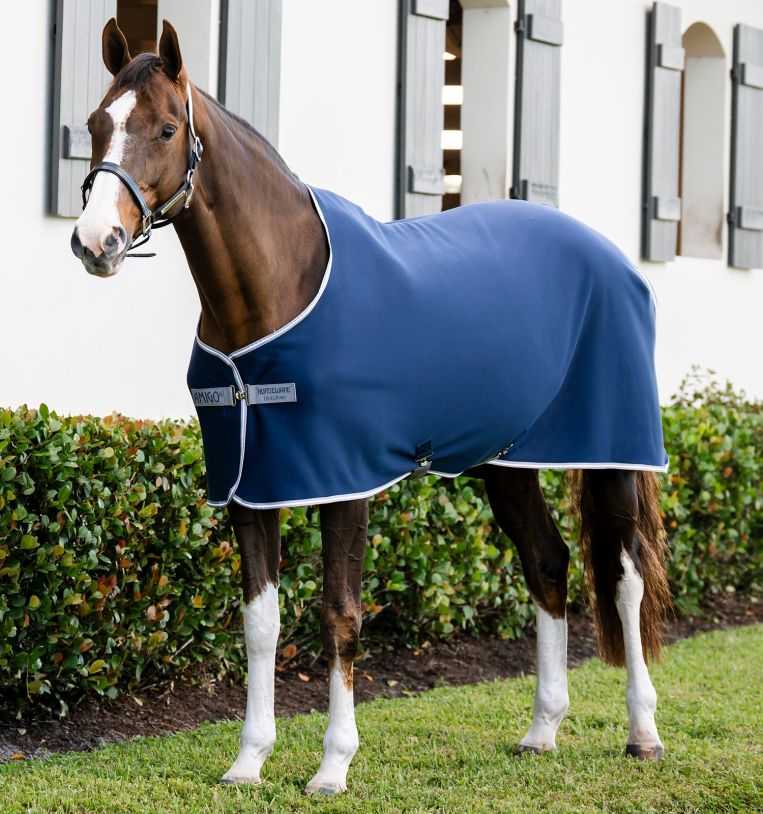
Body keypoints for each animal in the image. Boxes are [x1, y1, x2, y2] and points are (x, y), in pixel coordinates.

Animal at [70, 19, 672, 795]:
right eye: (95, 124)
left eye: (168, 128)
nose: (95, 242)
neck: (278, 288)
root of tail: (612, 257)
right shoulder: (250, 486)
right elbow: (260, 624)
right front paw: (249, 760)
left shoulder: (343, 481)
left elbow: (340, 616)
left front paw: (332, 765)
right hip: (507, 464)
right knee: (547, 562)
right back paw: (541, 730)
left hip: (613, 452)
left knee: (626, 579)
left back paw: (642, 732)